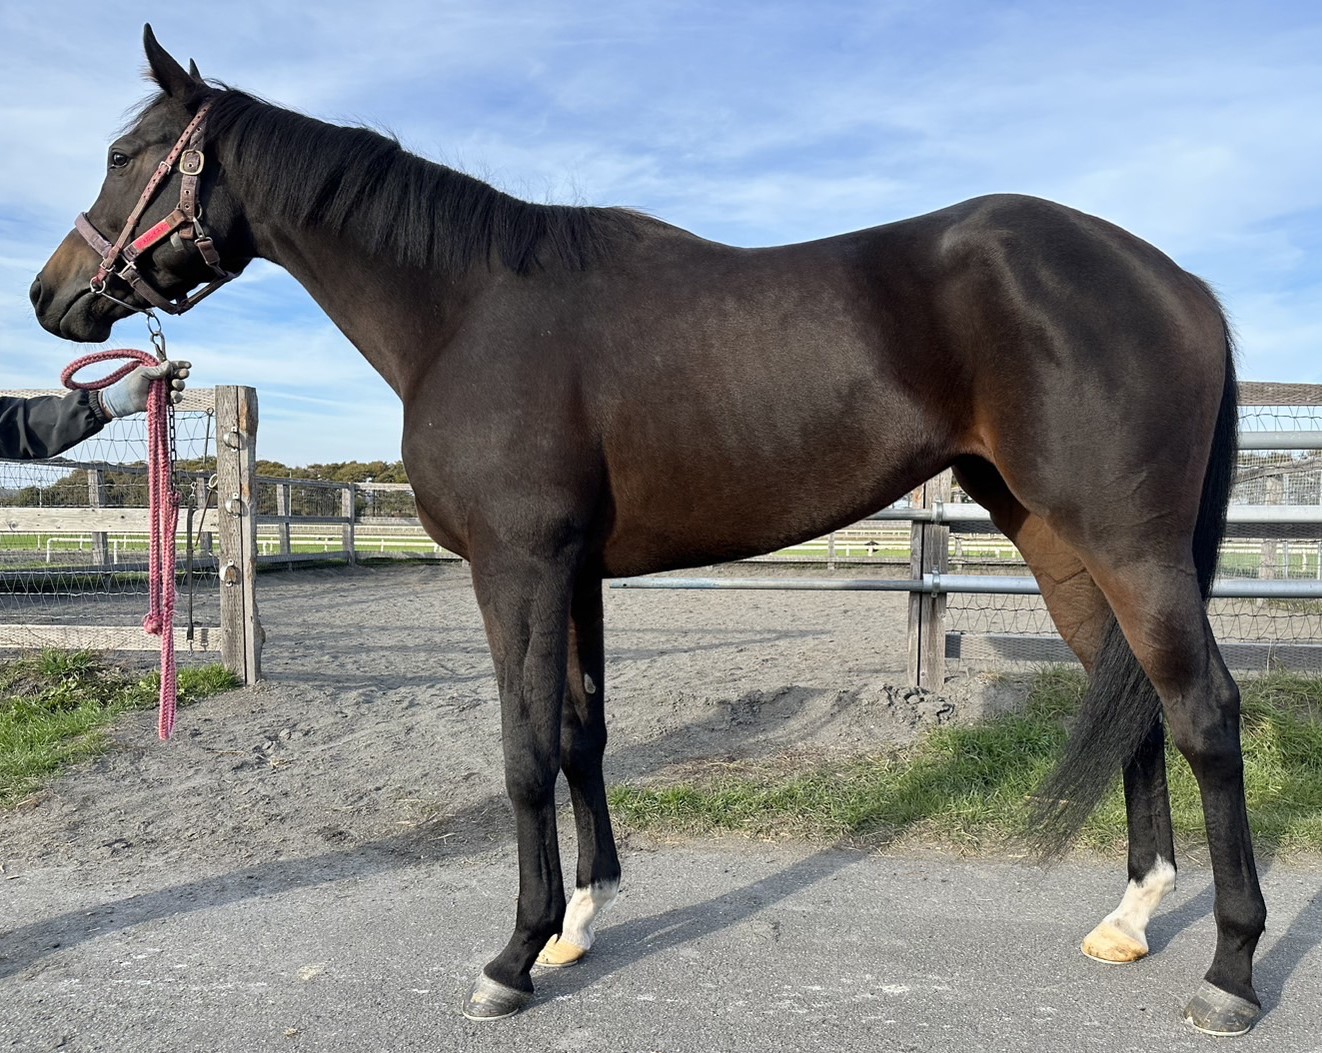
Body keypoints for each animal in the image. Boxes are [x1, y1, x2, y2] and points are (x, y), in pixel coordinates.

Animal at [31, 26, 1265, 1036]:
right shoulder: (574, 574)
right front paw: (581, 919)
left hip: (1128, 543)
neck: (466, 311)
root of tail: (1182, 281)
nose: (52, 296)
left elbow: (524, 750)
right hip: (1056, 538)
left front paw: (512, 958)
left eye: (127, 152)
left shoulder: (516, 570)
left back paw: (1230, 974)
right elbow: (583, 735)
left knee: (1203, 709)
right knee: (1132, 702)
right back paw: (1131, 917)